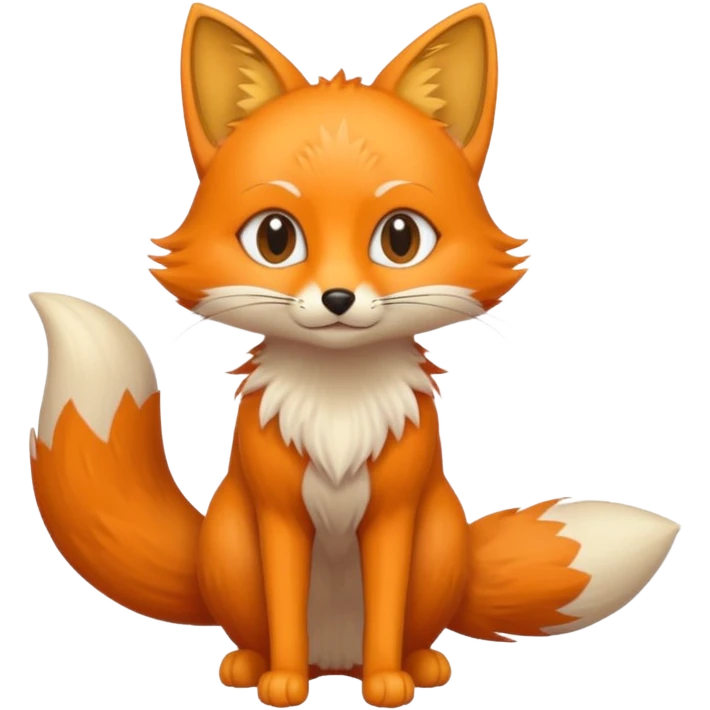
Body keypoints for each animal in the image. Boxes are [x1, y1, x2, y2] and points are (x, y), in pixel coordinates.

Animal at [27, 2, 681, 709]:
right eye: (275, 237)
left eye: (400, 238)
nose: (337, 297)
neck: (338, 403)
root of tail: (334, 660)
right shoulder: (279, 517)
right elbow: (285, 607)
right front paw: (283, 683)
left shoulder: (393, 517)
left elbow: (386, 610)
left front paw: (387, 682)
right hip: (231, 547)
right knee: (257, 628)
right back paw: (253, 665)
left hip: (438, 543)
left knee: (412, 628)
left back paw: (417, 665)